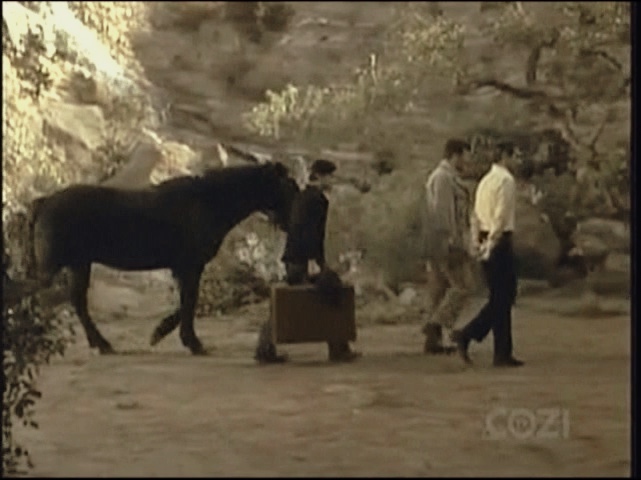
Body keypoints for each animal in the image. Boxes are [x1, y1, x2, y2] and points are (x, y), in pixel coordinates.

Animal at [31, 162, 299, 356]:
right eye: (290, 187)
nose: (291, 223)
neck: (209, 201)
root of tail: (45, 202)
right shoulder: (190, 266)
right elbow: (190, 302)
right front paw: (191, 343)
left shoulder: (184, 268)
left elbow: (185, 304)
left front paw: (160, 333)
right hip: (54, 267)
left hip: (79, 264)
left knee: (77, 302)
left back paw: (102, 344)